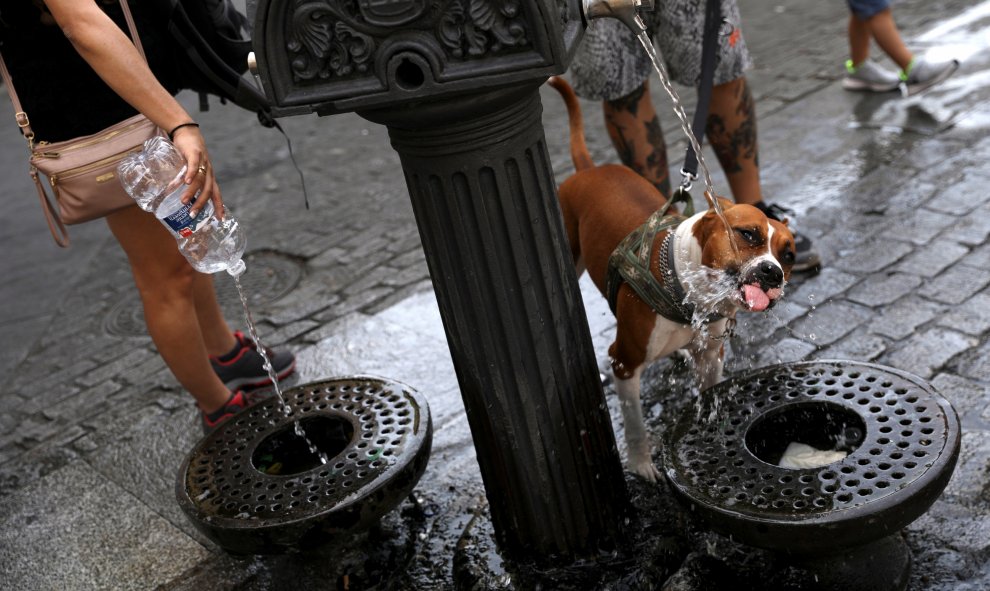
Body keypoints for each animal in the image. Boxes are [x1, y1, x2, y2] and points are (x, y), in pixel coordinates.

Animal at [552, 76, 800, 484]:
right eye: (747, 234)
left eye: (789, 255)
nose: (772, 272)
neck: (689, 289)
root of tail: (587, 169)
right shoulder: (623, 361)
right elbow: (635, 424)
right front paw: (641, 464)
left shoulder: (712, 355)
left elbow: (710, 391)